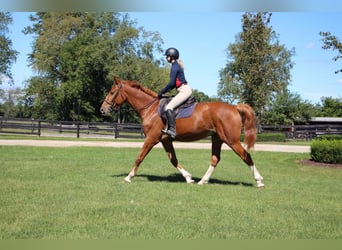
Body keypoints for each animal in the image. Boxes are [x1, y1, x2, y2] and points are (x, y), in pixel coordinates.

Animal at [99, 77, 264, 188]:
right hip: (217, 138)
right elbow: (173, 160)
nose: (102, 109)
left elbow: (139, 157)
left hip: (231, 140)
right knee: (215, 159)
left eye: (112, 92)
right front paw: (188, 178)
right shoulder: (165, 140)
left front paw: (129, 177)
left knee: (246, 155)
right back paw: (202, 181)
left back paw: (259, 180)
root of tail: (234, 107)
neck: (151, 108)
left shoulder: (152, 139)